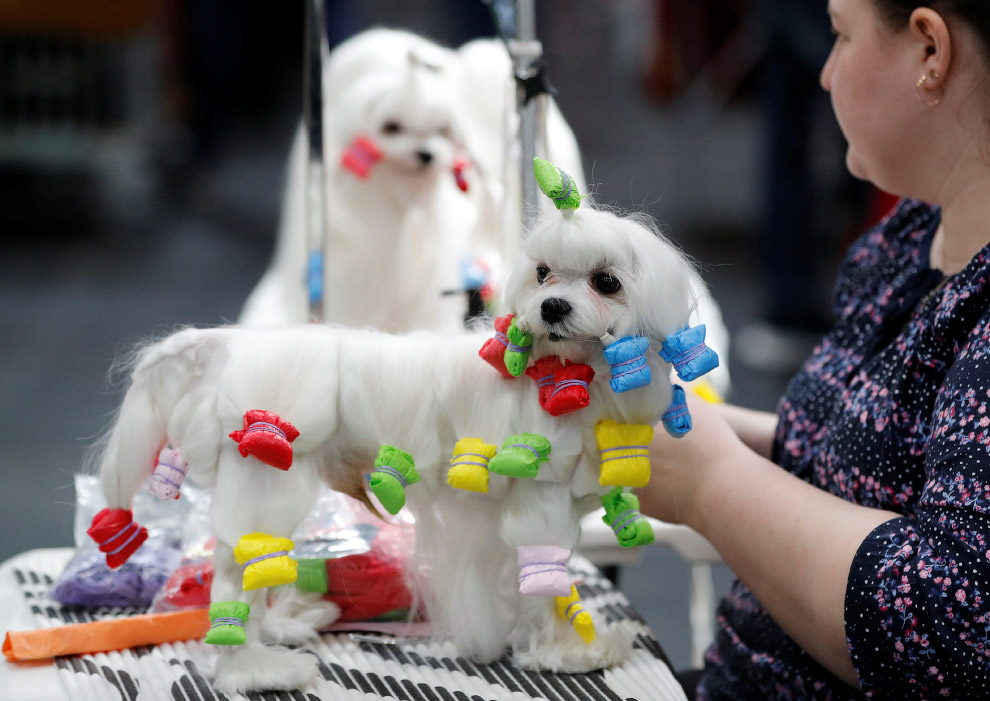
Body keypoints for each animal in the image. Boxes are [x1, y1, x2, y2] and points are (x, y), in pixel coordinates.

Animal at [89, 161, 716, 692]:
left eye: (607, 282)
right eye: (543, 275)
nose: (552, 307)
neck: (565, 372)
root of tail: (231, 345)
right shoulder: (540, 501)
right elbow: (547, 581)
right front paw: (567, 650)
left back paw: (280, 629)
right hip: (267, 475)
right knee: (233, 577)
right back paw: (254, 667)